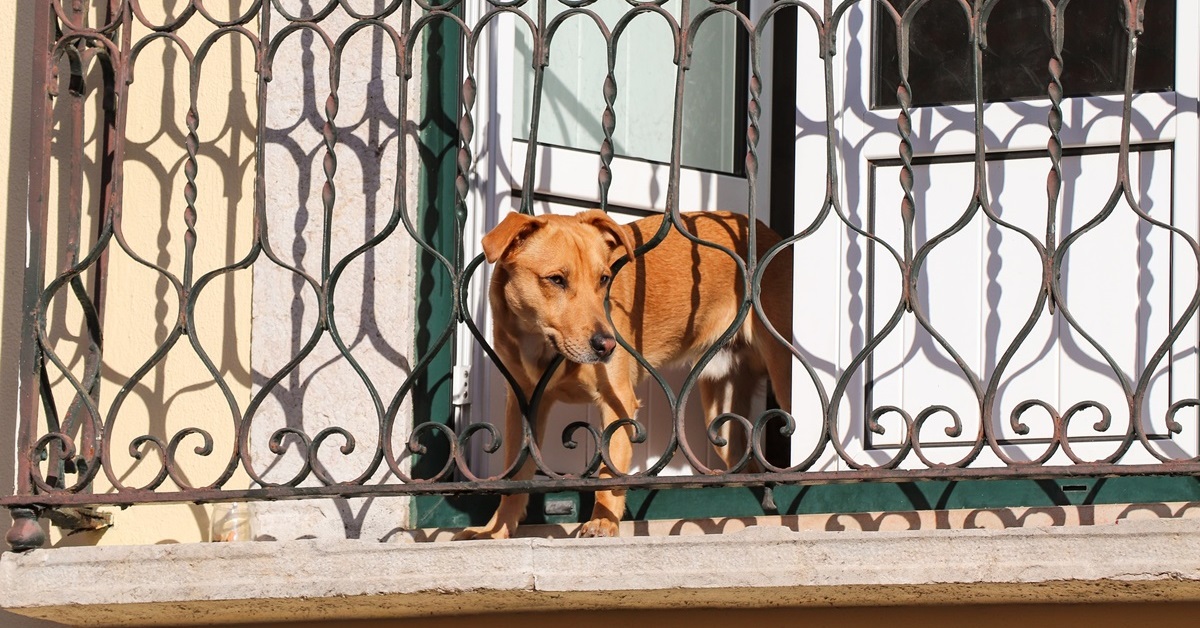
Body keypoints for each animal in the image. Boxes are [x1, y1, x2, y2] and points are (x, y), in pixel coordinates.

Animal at [453, 211, 792, 540]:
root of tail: (765, 230)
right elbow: (515, 475)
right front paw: (496, 530)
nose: (607, 345)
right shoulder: (523, 404)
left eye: (604, 279)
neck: (541, 345)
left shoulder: (618, 402)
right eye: (556, 280)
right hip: (721, 412)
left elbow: (609, 470)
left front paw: (603, 522)